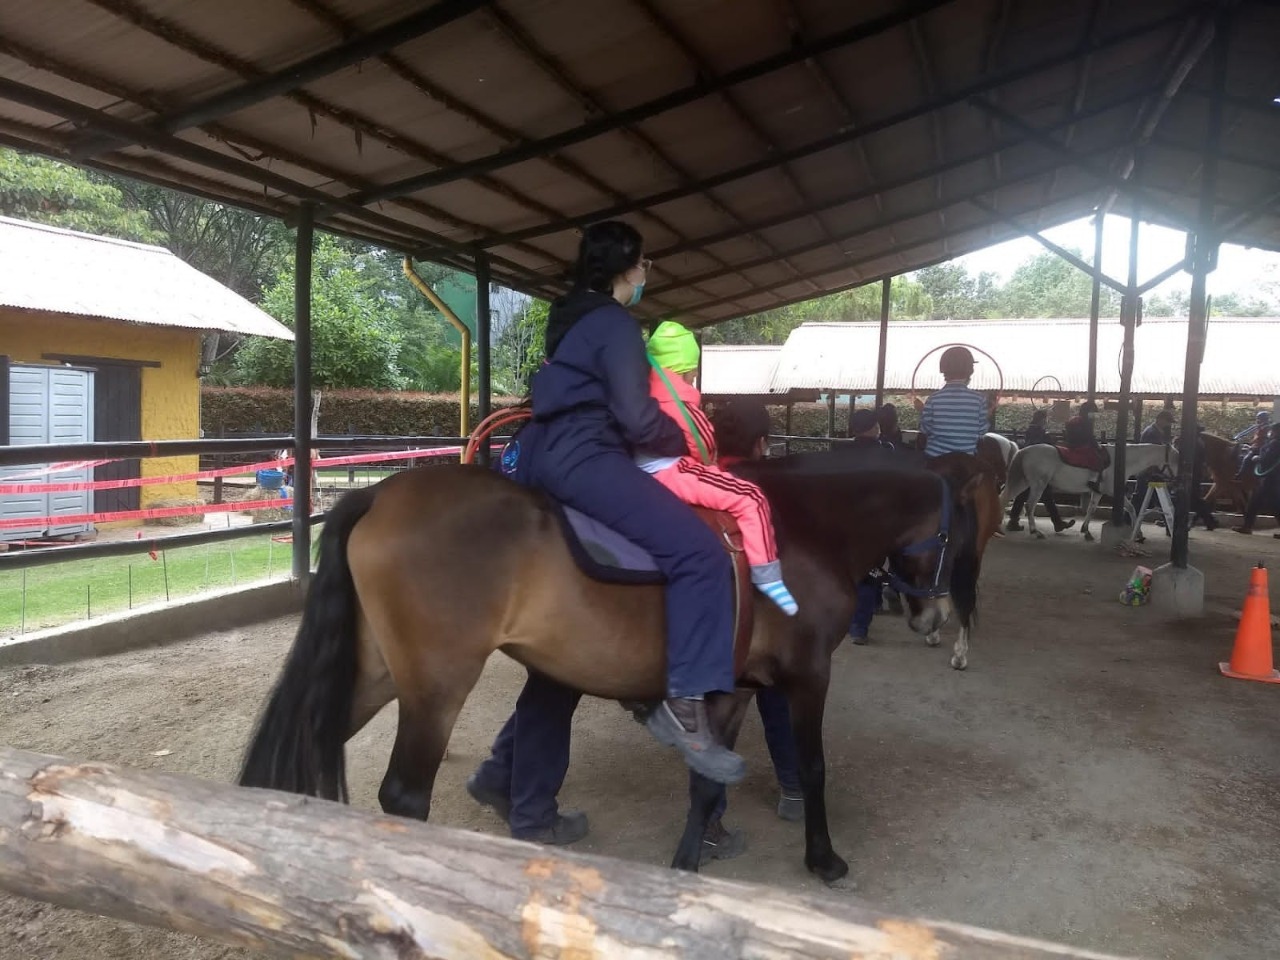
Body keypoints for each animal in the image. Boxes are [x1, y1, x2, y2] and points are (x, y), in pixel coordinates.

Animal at [238, 458, 977, 885]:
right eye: (962, 531)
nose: (936, 615)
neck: (805, 532)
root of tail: (382, 495)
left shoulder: (732, 690)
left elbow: (706, 783)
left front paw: (689, 864)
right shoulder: (807, 679)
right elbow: (816, 768)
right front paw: (823, 859)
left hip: (376, 674)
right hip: (435, 687)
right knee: (403, 796)